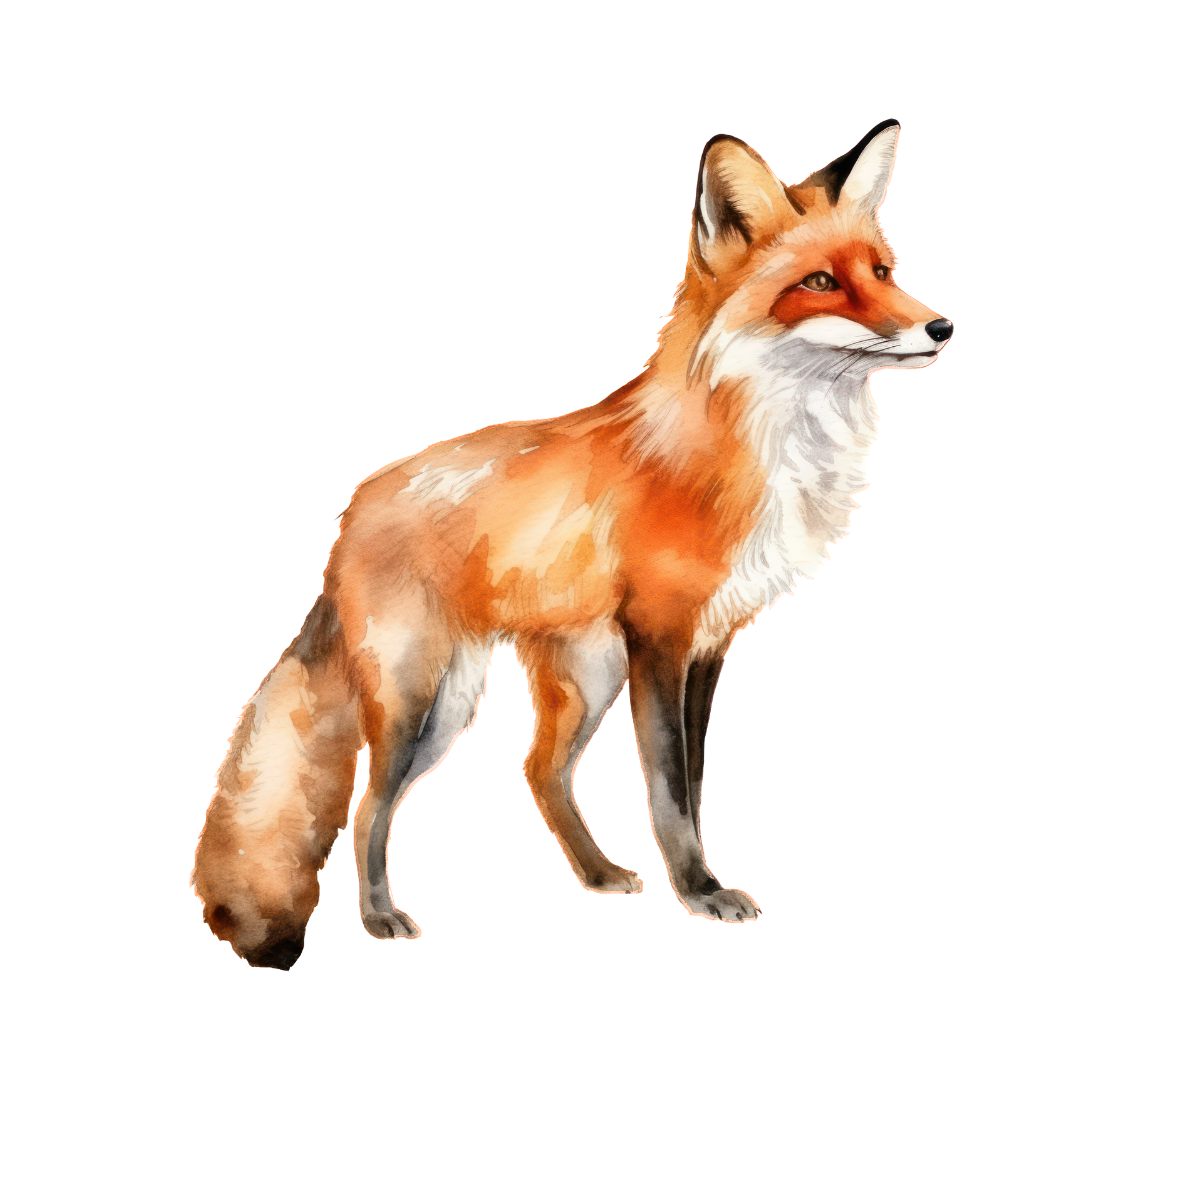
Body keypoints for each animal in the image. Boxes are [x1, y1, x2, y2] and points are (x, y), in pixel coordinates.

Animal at [192, 120, 952, 969]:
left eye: (883, 271)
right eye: (820, 282)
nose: (940, 327)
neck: (761, 447)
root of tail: (352, 510)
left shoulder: (708, 644)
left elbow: (692, 781)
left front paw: (692, 883)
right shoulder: (660, 638)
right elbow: (670, 789)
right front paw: (699, 893)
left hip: (559, 680)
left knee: (537, 771)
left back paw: (593, 874)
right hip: (423, 699)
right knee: (367, 804)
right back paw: (383, 917)